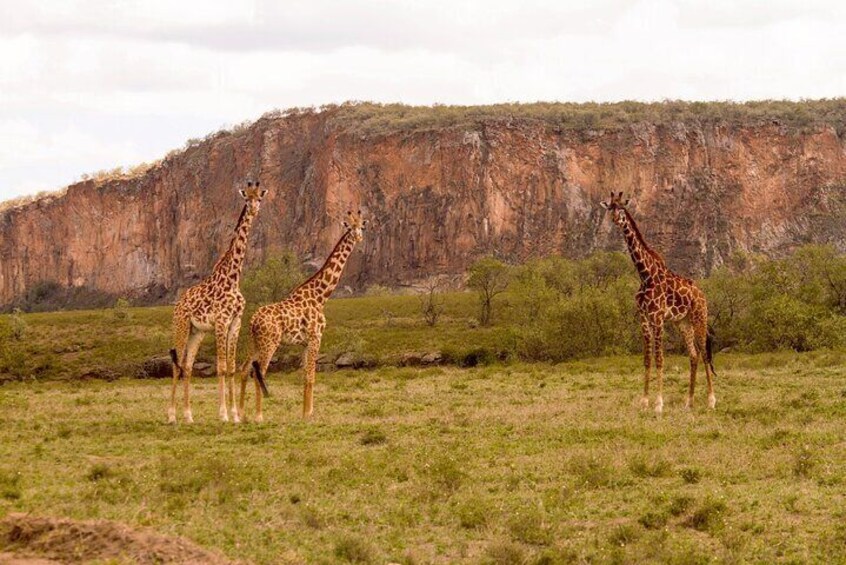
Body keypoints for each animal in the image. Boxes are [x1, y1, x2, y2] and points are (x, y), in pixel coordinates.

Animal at [168, 181, 268, 424]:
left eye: (259, 198)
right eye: (246, 198)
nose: (254, 210)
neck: (233, 278)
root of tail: (178, 304)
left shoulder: (235, 323)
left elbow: (230, 367)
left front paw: (235, 415)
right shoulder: (221, 322)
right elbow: (221, 367)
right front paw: (223, 414)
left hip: (197, 332)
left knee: (187, 366)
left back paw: (188, 416)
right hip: (181, 326)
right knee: (176, 366)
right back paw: (172, 415)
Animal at [238, 209, 372, 420]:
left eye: (362, 227)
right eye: (350, 228)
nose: (358, 238)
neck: (320, 295)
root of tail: (253, 321)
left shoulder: (305, 342)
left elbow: (304, 376)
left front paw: (303, 413)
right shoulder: (316, 337)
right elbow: (311, 376)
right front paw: (309, 414)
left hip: (254, 343)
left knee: (244, 370)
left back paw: (241, 414)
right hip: (270, 343)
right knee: (260, 372)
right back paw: (259, 416)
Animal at [600, 192, 720, 412]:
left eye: (622, 208)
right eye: (610, 207)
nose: (615, 220)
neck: (645, 274)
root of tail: (702, 293)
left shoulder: (658, 318)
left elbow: (659, 359)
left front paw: (658, 404)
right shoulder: (644, 317)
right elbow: (647, 359)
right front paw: (644, 401)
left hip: (700, 317)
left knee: (704, 354)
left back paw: (711, 401)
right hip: (683, 322)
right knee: (693, 355)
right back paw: (689, 402)